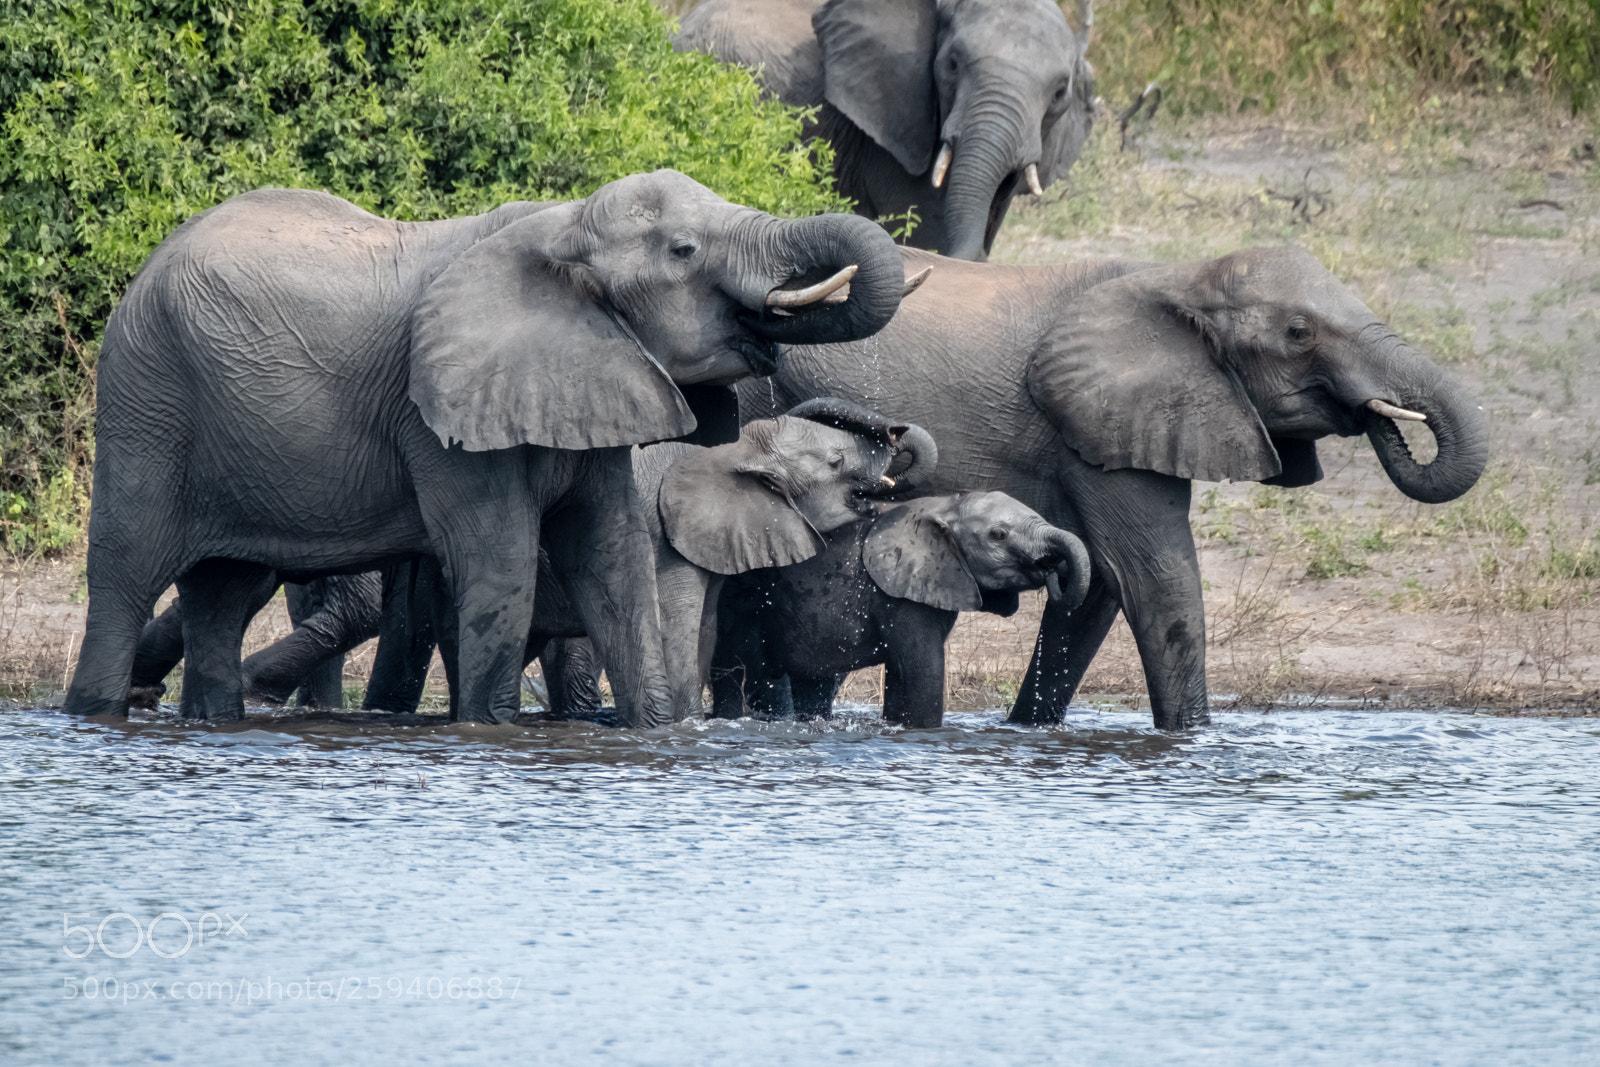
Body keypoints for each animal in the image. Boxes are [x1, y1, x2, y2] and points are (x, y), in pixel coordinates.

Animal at [64, 169, 906, 726]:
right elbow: (500, 561)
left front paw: (657, 731)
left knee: (222, 590)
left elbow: (614, 557)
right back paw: (95, 712)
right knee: (127, 574)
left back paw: (214, 721)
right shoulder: (439, 413)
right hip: (147, 396)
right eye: (685, 251)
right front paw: (490, 731)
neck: (563, 225)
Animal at [712, 490, 1091, 727]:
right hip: (743, 604)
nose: (1051, 568)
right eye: (998, 535)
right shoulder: (899, 595)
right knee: (747, 673)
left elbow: (902, 674)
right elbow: (923, 672)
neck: (945, 505)